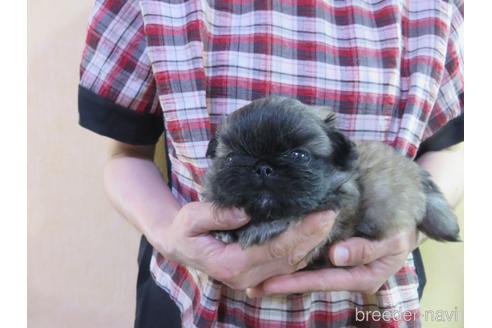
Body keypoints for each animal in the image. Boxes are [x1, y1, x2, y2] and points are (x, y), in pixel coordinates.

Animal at [201, 96, 462, 266]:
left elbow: (295, 214)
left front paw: (263, 228)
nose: (263, 168)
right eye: (231, 158)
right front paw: (225, 231)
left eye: (299, 156)